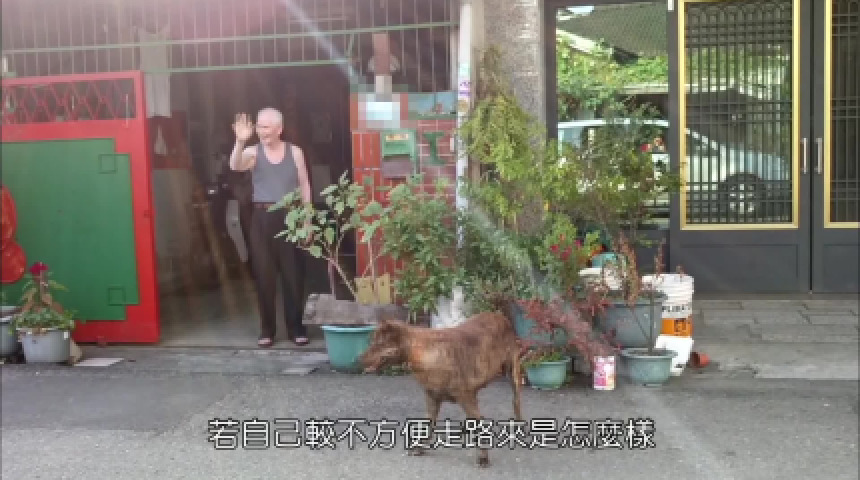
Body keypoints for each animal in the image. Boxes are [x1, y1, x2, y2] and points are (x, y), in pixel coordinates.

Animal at [359, 310, 524, 467]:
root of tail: (501, 316)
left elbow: (478, 428)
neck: (424, 353)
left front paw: (483, 458)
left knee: (515, 402)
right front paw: (419, 448)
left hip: (513, 372)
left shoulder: (465, 397)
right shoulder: (432, 399)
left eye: (377, 343)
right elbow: (428, 425)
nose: (358, 359)